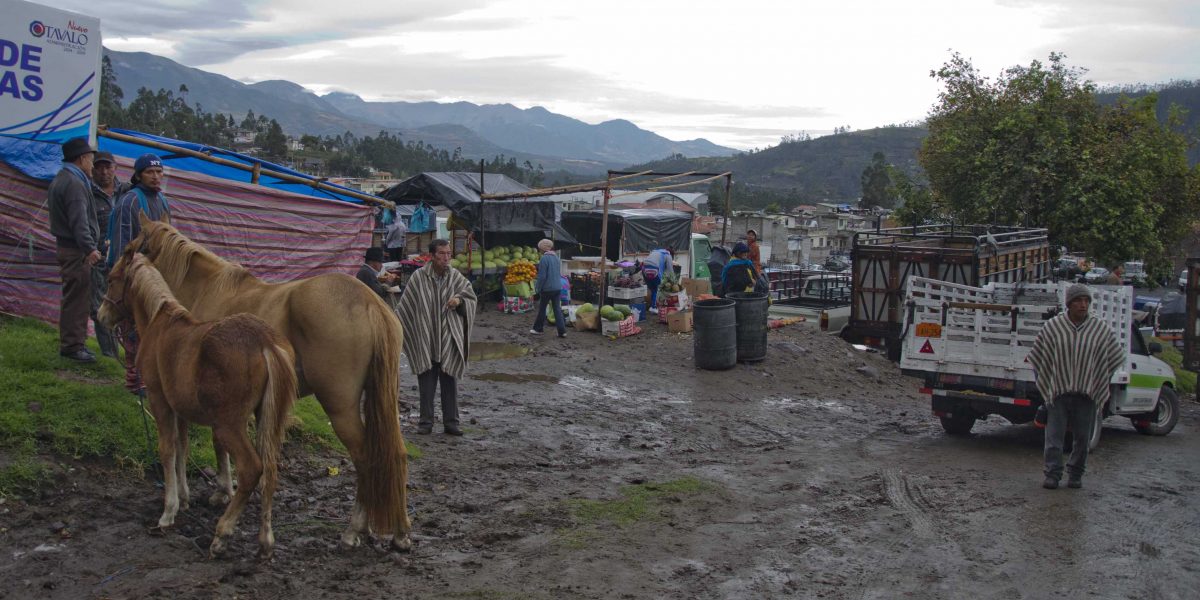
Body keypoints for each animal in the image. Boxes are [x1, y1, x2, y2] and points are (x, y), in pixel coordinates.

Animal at [99, 252, 298, 556]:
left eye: (111, 279)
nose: (101, 315)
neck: (159, 323)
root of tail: (267, 343)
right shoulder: (180, 407)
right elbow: (182, 446)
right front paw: (184, 497)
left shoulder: (159, 399)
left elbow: (167, 449)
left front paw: (168, 511)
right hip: (266, 418)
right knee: (270, 469)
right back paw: (265, 539)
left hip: (229, 424)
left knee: (252, 468)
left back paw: (222, 533)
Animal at [129, 213, 412, 549]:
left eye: (132, 246)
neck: (208, 288)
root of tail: (369, 303)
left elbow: (218, 443)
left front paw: (222, 491)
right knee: (397, 455)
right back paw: (400, 533)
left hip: (340, 406)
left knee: (365, 458)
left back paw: (354, 528)